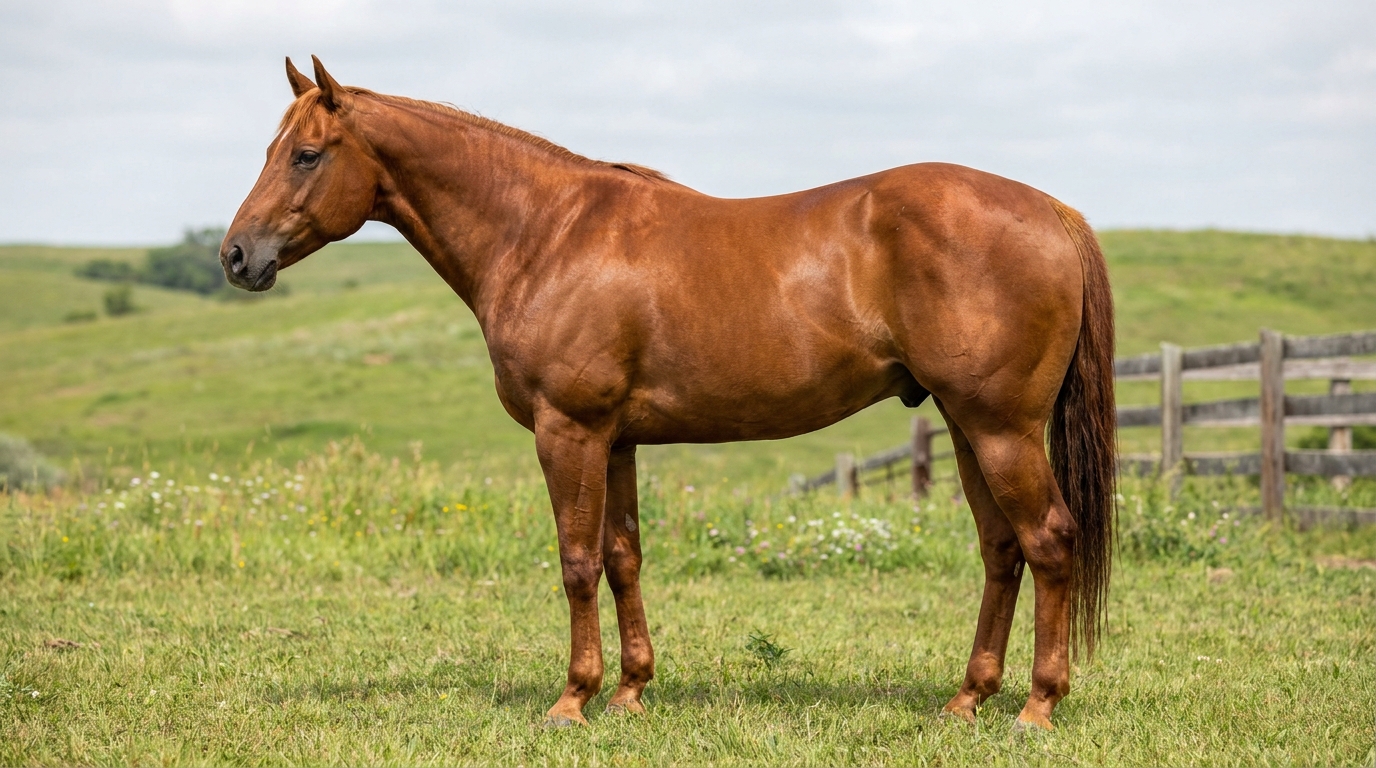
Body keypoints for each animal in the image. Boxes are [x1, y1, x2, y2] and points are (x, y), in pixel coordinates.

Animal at [222, 56, 1117, 732]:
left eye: (307, 155)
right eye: (271, 148)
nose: (236, 256)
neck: (544, 233)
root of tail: (1050, 209)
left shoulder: (569, 431)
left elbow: (577, 561)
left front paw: (572, 700)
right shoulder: (615, 439)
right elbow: (623, 558)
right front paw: (629, 692)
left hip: (1001, 429)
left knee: (1048, 541)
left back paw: (1036, 707)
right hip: (968, 428)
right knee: (1001, 551)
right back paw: (967, 699)